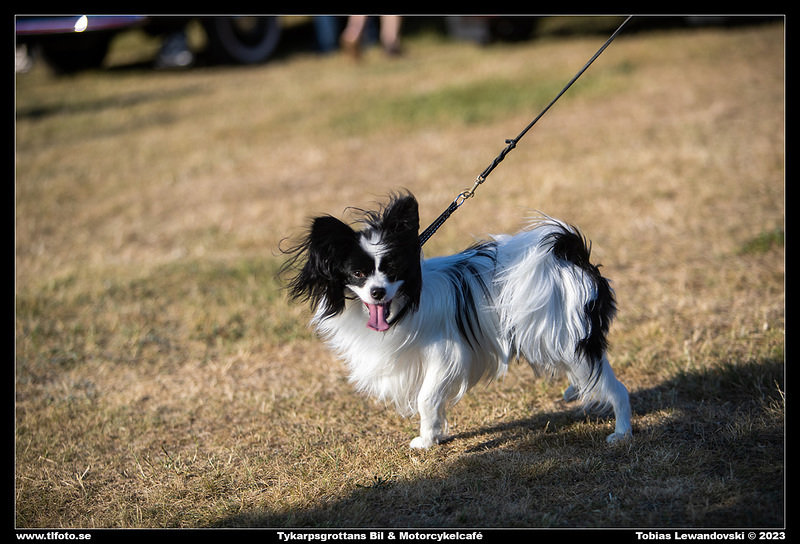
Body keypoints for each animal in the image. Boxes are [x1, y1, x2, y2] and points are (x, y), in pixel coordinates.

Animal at [281, 192, 631, 448]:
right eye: (357, 274)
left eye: (392, 270)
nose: (377, 292)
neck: (404, 303)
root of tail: (571, 255)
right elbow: (433, 403)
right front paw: (436, 435)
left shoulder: (447, 356)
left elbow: (426, 399)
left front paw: (426, 441)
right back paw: (576, 391)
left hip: (571, 338)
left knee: (616, 387)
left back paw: (622, 431)